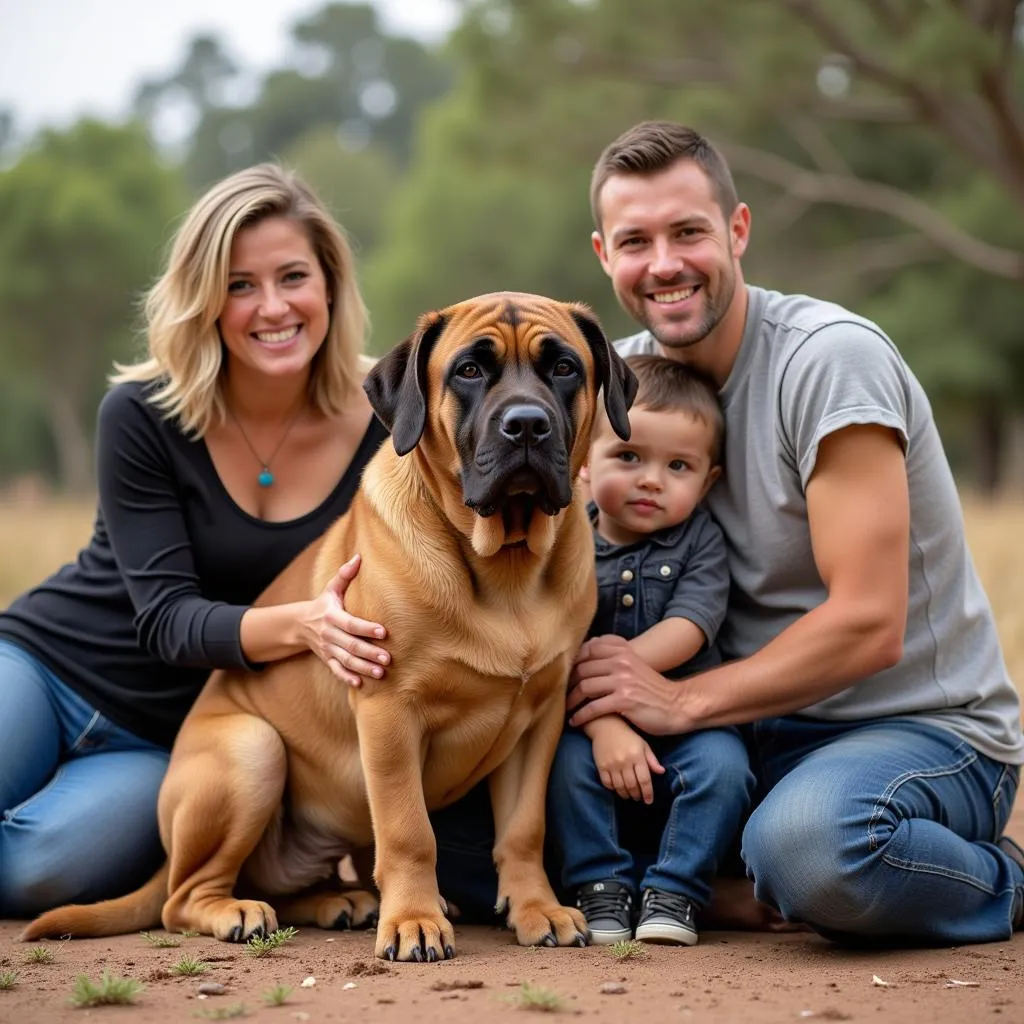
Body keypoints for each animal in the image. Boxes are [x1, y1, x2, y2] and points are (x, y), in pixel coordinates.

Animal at [24, 292, 634, 962]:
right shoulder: (389, 708)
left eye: (565, 368)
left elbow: (524, 830)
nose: (526, 424)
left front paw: (536, 910)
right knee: (182, 898)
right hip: (252, 749)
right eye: (469, 371)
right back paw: (242, 912)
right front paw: (414, 921)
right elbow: (408, 830)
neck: (506, 568)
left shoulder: (538, 720)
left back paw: (338, 902)